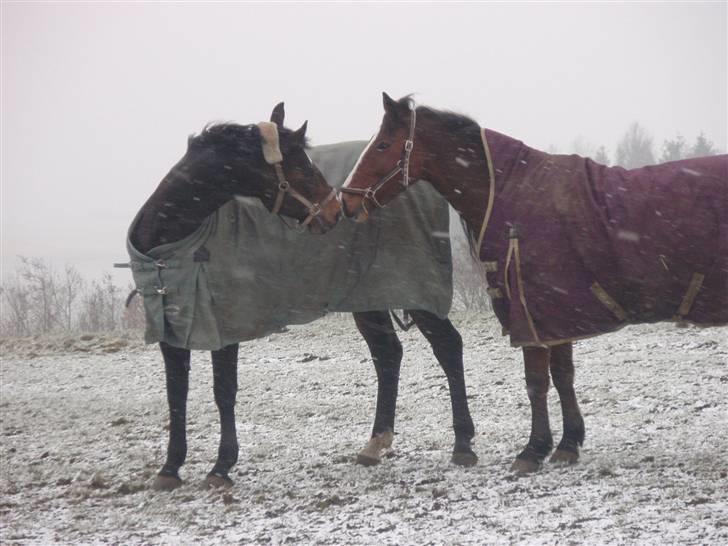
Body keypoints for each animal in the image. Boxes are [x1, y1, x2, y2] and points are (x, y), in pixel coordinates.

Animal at [128, 102, 474, 488]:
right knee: (388, 354)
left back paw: (463, 444)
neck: (170, 243)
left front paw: (221, 466)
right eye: (298, 166)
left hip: (414, 292)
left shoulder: (226, 326)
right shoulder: (170, 329)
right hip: (369, 297)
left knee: (448, 347)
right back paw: (375, 443)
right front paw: (170, 468)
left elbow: (224, 392)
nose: (334, 210)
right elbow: (176, 392)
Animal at [340, 91, 728, 470]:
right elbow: (563, 376)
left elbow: (537, 381)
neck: (512, 192)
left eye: (383, 144)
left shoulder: (534, 312)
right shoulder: (559, 316)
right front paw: (568, 444)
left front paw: (533, 450)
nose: (345, 202)